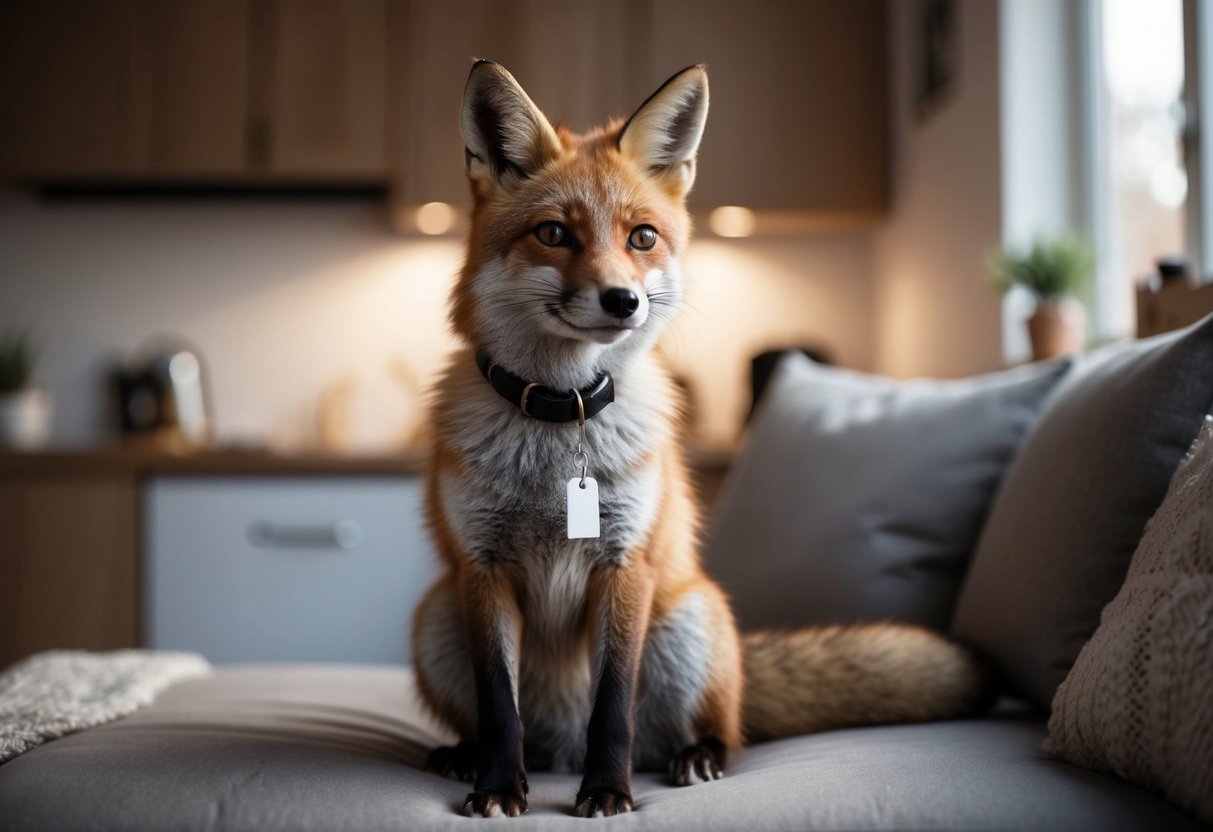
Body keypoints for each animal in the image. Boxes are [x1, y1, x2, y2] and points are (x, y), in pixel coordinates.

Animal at [412, 60, 988, 819]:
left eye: (642, 238)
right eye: (554, 234)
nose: (622, 300)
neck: (560, 419)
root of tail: (557, 747)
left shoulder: (627, 563)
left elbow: (613, 705)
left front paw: (608, 792)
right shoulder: (481, 568)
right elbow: (497, 706)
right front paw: (499, 788)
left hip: (690, 619)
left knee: (712, 734)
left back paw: (696, 756)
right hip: (436, 616)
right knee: (504, 725)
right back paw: (464, 756)